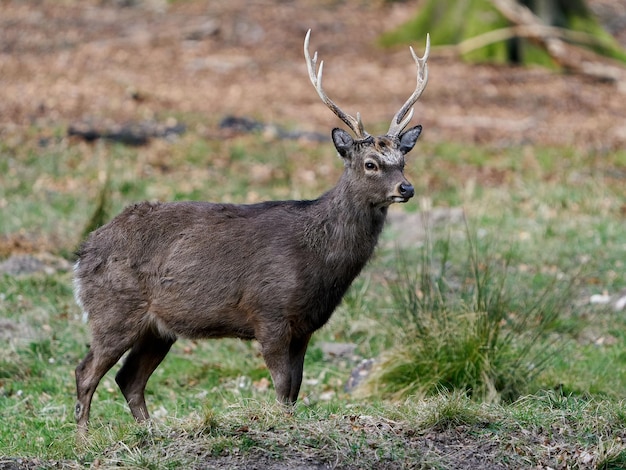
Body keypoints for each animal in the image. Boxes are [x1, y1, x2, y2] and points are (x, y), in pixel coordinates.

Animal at [70, 30, 426, 434]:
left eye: (403, 160)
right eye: (370, 163)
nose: (406, 188)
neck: (318, 258)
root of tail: (84, 252)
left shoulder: (305, 326)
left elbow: (295, 389)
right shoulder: (268, 311)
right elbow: (283, 386)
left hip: (157, 328)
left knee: (128, 378)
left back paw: (150, 432)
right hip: (113, 311)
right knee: (86, 373)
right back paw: (83, 440)